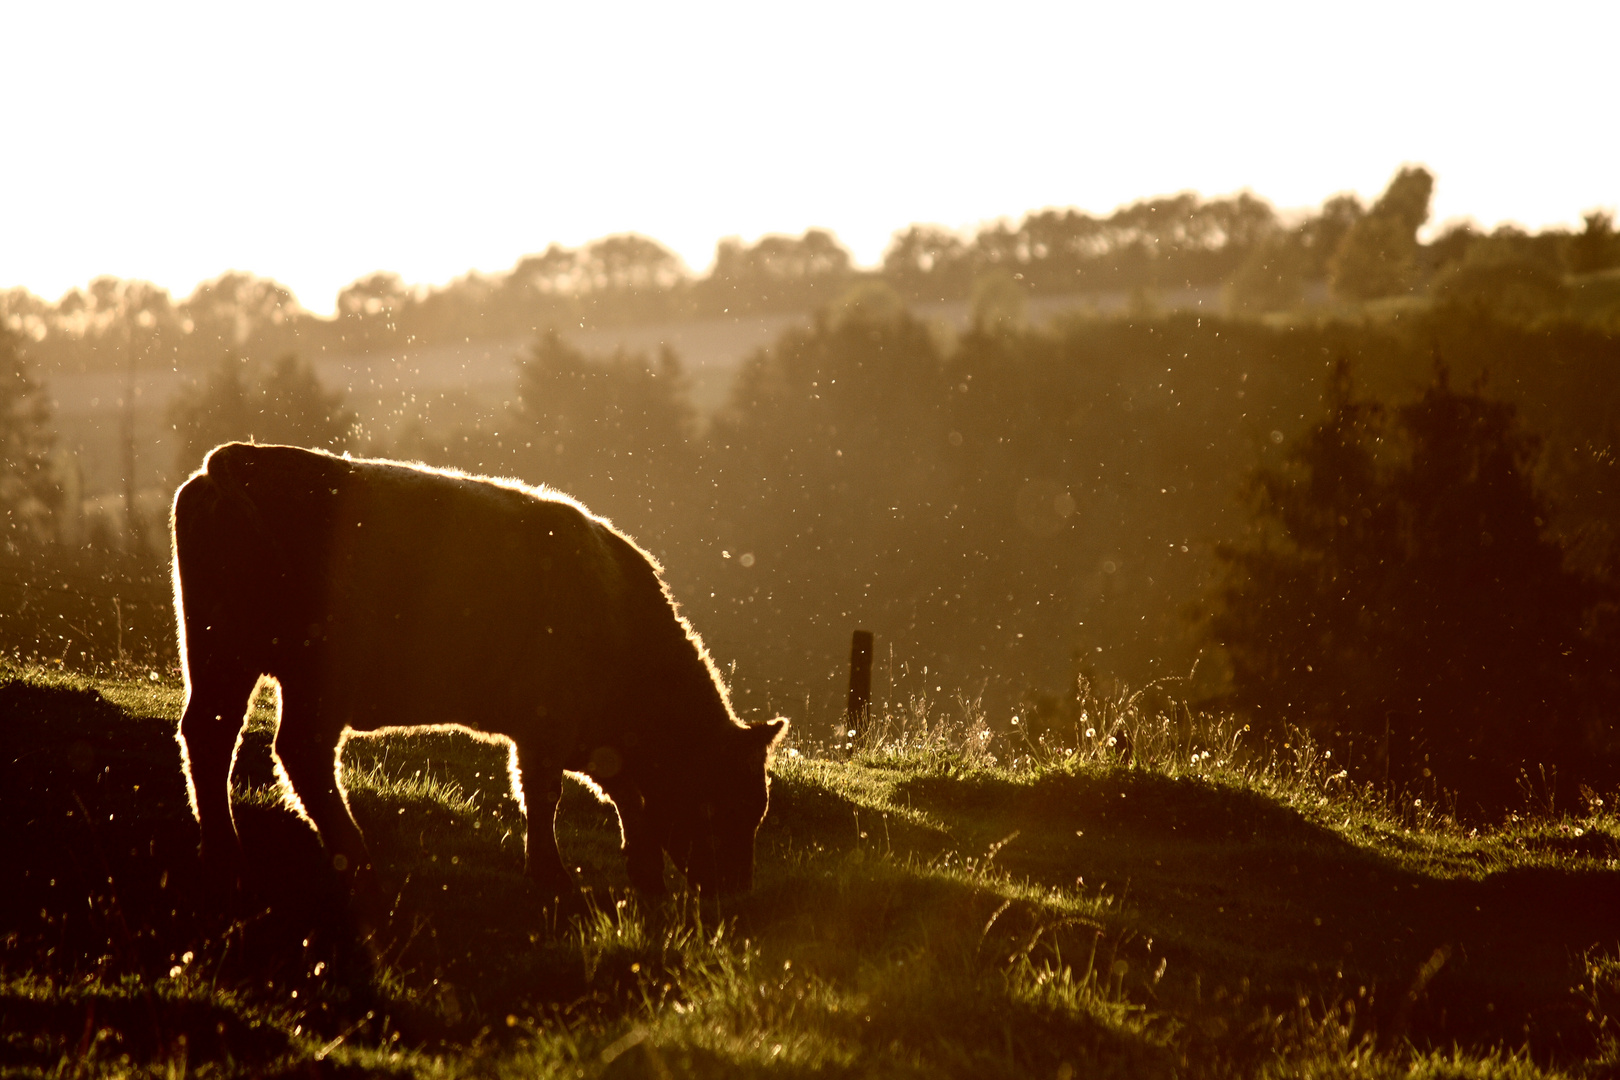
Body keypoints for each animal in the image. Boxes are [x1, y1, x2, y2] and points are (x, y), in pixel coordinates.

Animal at [169, 443, 784, 900]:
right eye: (725, 798)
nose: (734, 891)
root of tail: (241, 460)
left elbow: (626, 800)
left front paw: (645, 879)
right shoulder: (545, 729)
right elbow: (544, 795)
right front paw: (554, 879)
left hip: (222, 655)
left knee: (211, 734)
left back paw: (225, 855)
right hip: (311, 675)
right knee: (299, 751)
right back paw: (357, 861)